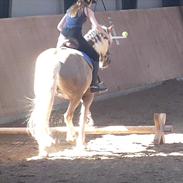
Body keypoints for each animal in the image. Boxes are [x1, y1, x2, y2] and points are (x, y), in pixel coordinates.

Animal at [27, 24, 112, 156]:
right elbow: (82, 118)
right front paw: (81, 142)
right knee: (67, 115)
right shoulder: (87, 96)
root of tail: (56, 59)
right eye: (108, 39)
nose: (107, 61)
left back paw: (44, 149)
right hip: (75, 97)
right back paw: (71, 137)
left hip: (46, 96)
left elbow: (84, 115)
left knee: (43, 118)